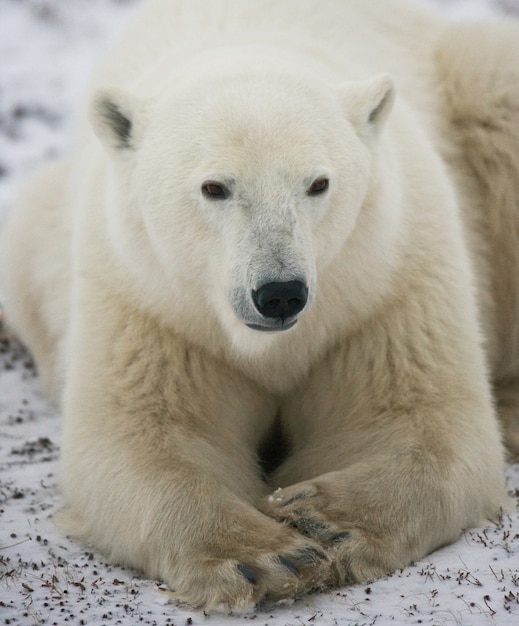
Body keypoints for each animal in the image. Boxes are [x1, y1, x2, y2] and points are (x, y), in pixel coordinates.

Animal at [1, 0, 519, 608]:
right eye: (215, 187)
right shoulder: (151, 299)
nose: (279, 293)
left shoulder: (384, 279)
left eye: (318, 183)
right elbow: (142, 437)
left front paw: (324, 519)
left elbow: (420, 421)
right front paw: (264, 558)